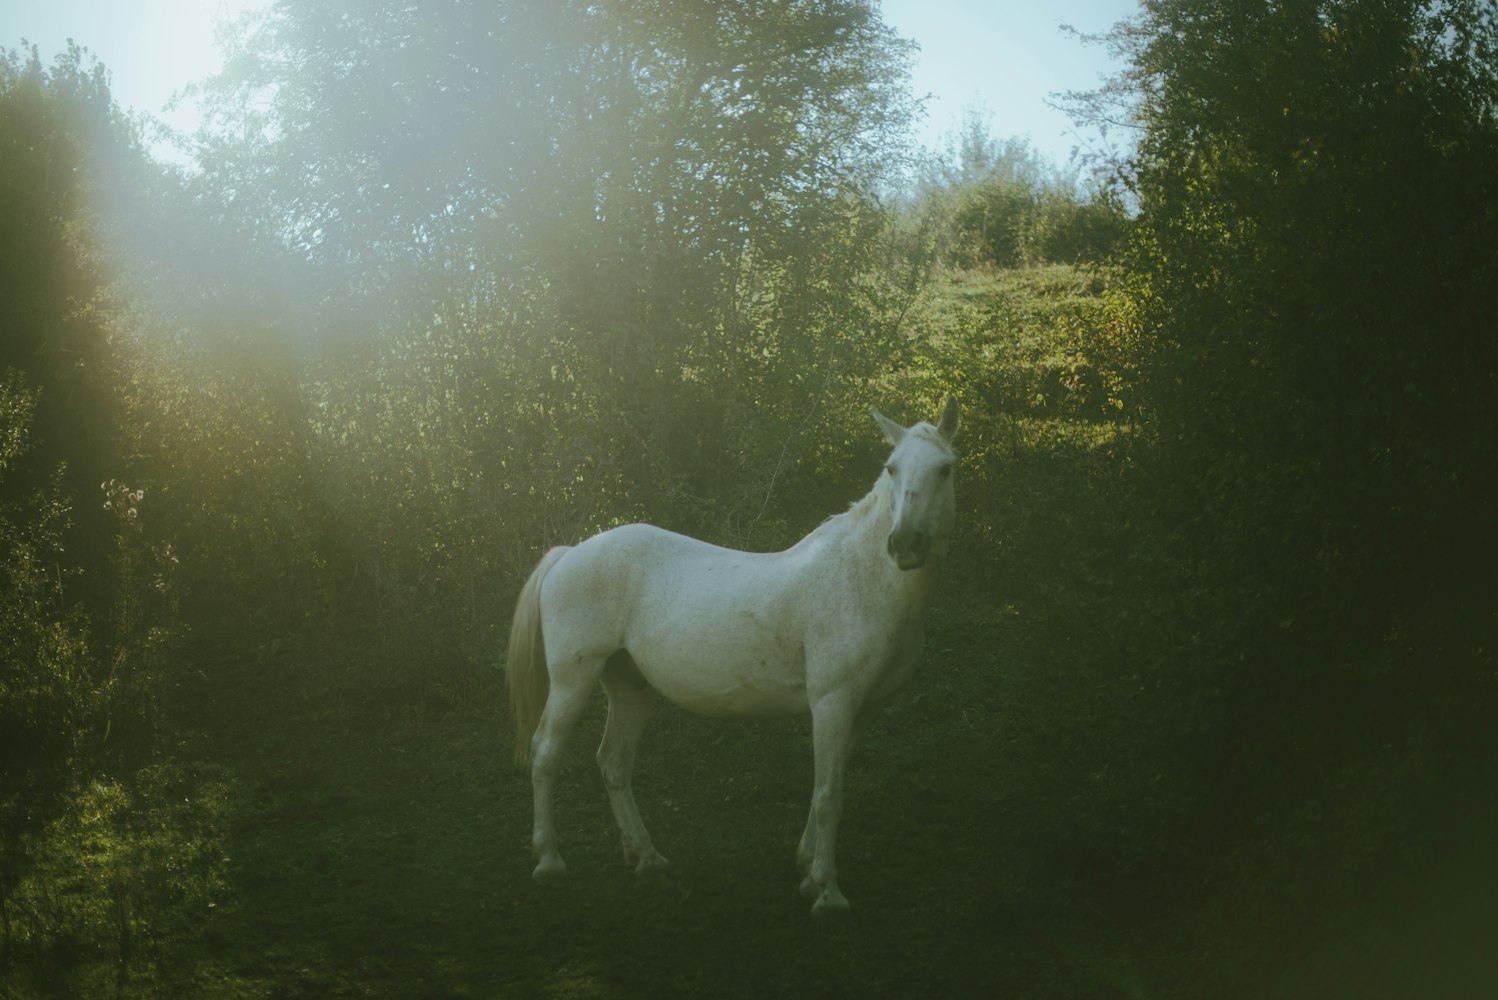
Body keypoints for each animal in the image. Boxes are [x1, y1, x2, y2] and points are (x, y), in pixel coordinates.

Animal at [506, 397, 960, 915]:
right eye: (892, 467)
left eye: (945, 468)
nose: (905, 545)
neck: (861, 580)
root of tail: (570, 553)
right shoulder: (832, 702)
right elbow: (828, 796)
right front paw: (827, 892)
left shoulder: (860, 710)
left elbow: (829, 786)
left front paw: (806, 869)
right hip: (572, 678)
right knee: (546, 754)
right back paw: (549, 861)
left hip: (629, 685)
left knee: (614, 762)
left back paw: (648, 859)